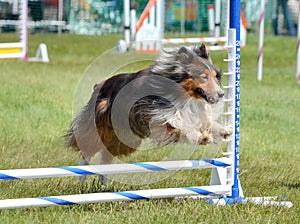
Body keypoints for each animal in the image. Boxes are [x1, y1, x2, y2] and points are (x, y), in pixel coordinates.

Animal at [65, 43, 233, 184]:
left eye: (215, 76)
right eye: (204, 76)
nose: (221, 94)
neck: (182, 94)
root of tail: (100, 85)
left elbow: (205, 123)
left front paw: (224, 130)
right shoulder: (157, 118)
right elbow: (181, 128)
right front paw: (201, 137)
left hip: (124, 138)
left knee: (106, 155)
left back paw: (103, 179)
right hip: (101, 128)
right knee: (86, 148)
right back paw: (82, 176)